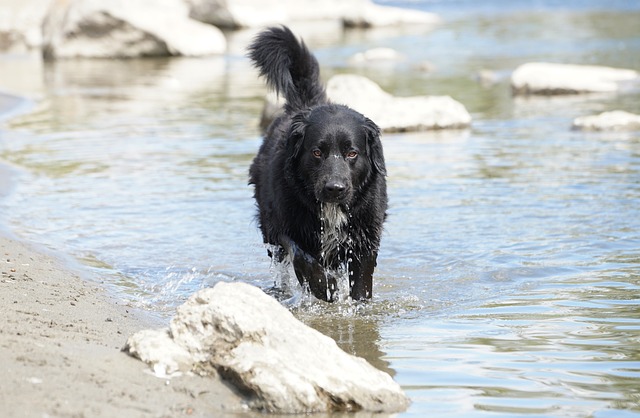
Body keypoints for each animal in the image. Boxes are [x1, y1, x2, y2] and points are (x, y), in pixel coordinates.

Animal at [246, 26, 384, 300]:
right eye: (317, 152)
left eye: (352, 153)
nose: (334, 189)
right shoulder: (285, 225)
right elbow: (301, 256)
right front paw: (322, 286)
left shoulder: (365, 239)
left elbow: (361, 285)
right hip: (269, 230)